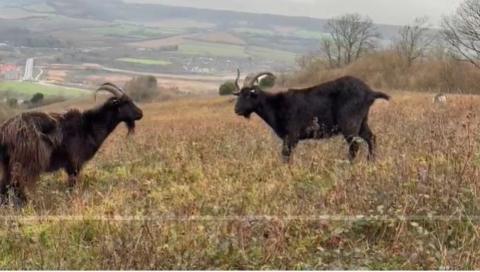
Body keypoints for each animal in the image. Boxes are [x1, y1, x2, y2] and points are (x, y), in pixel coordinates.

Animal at [0, 83, 142, 206]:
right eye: (126, 102)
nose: (140, 114)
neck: (89, 127)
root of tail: (5, 129)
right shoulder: (75, 164)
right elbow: (72, 186)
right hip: (23, 164)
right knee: (15, 185)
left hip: (8, 164)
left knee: (6, 186)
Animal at [232, 70, 390, 163]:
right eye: (239, 95)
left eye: (249, 95)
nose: (236, 110)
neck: (276, 104)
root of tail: (370, 92)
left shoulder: (291, 136)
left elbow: (286, 156)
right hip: (362, 121)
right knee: (371, 138)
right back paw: (370, 161)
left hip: (350, 124)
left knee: (355, 145)